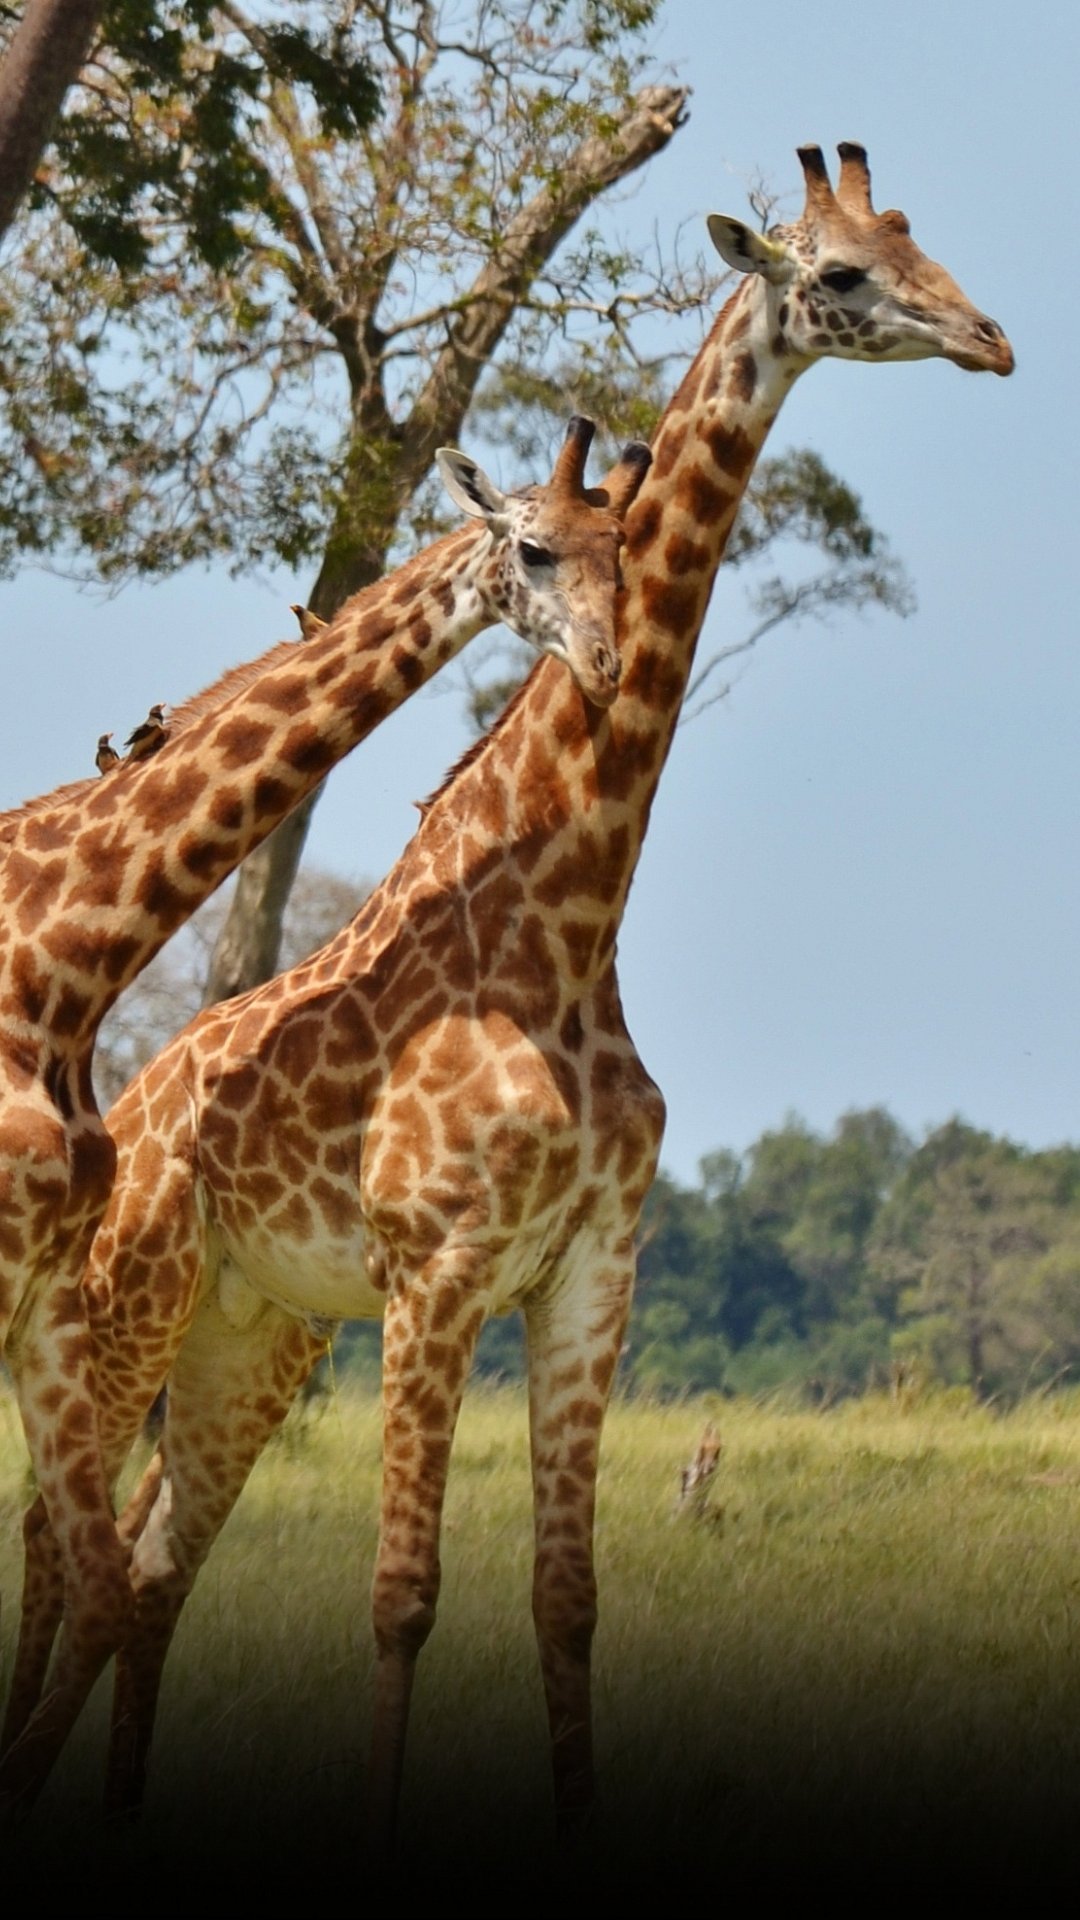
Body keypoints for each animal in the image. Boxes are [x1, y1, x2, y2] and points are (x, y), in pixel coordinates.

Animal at [0, 418, 652, 1808]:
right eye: (532, 547)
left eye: (623, 548)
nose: (609, 665)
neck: (57, 958)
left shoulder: (42, 1287)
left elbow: (102, 1584)